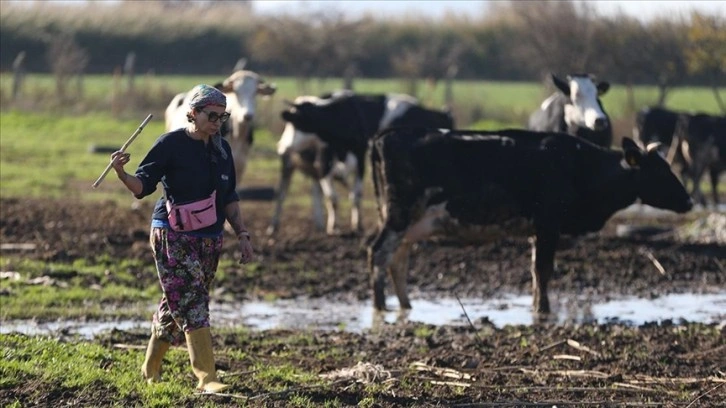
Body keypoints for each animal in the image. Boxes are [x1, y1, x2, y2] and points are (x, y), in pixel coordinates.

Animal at [272, 91, 456, 234]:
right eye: (290, 123)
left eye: (296, 124)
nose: (281, 146)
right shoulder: (324, 163)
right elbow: (333, 198)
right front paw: (334, 227)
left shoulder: (361, 160)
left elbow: (356, 195)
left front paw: (357, 225)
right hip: (289, 164)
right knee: (282, 194)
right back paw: (274, 227)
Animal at [370, 129, 692, 314]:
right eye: (659, 172)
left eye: (669, 167)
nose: (688, 201)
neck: (582, 167)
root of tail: (385, 136)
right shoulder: (549, 224)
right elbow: (543, 270)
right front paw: (543, 310)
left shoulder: (538, 229)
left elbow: (537, 271)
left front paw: (538, 304)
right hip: (399, 216)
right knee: (378, 254)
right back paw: (380, 305)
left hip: (407, 223)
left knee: (398, 260)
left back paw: (405, 305)